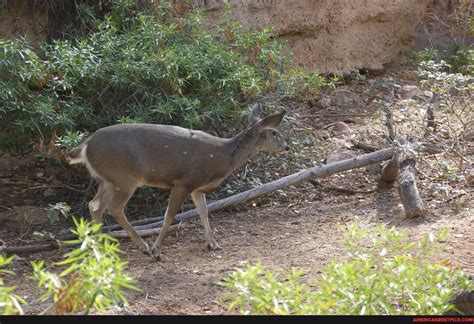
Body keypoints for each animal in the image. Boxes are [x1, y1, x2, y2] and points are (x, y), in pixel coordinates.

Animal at [68, 104, 286, 260]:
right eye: (274, 132)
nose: (287, 147)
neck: (222, 157)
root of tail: (85, 146)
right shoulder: (184, 181)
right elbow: (169, 215)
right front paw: (157, 250)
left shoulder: (198, 187)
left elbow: (204, 212)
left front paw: (213, 244)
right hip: (124, 177)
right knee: (113, 207)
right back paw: (143, 247)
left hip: (108, 180)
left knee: (95, 205)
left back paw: (99, 249)